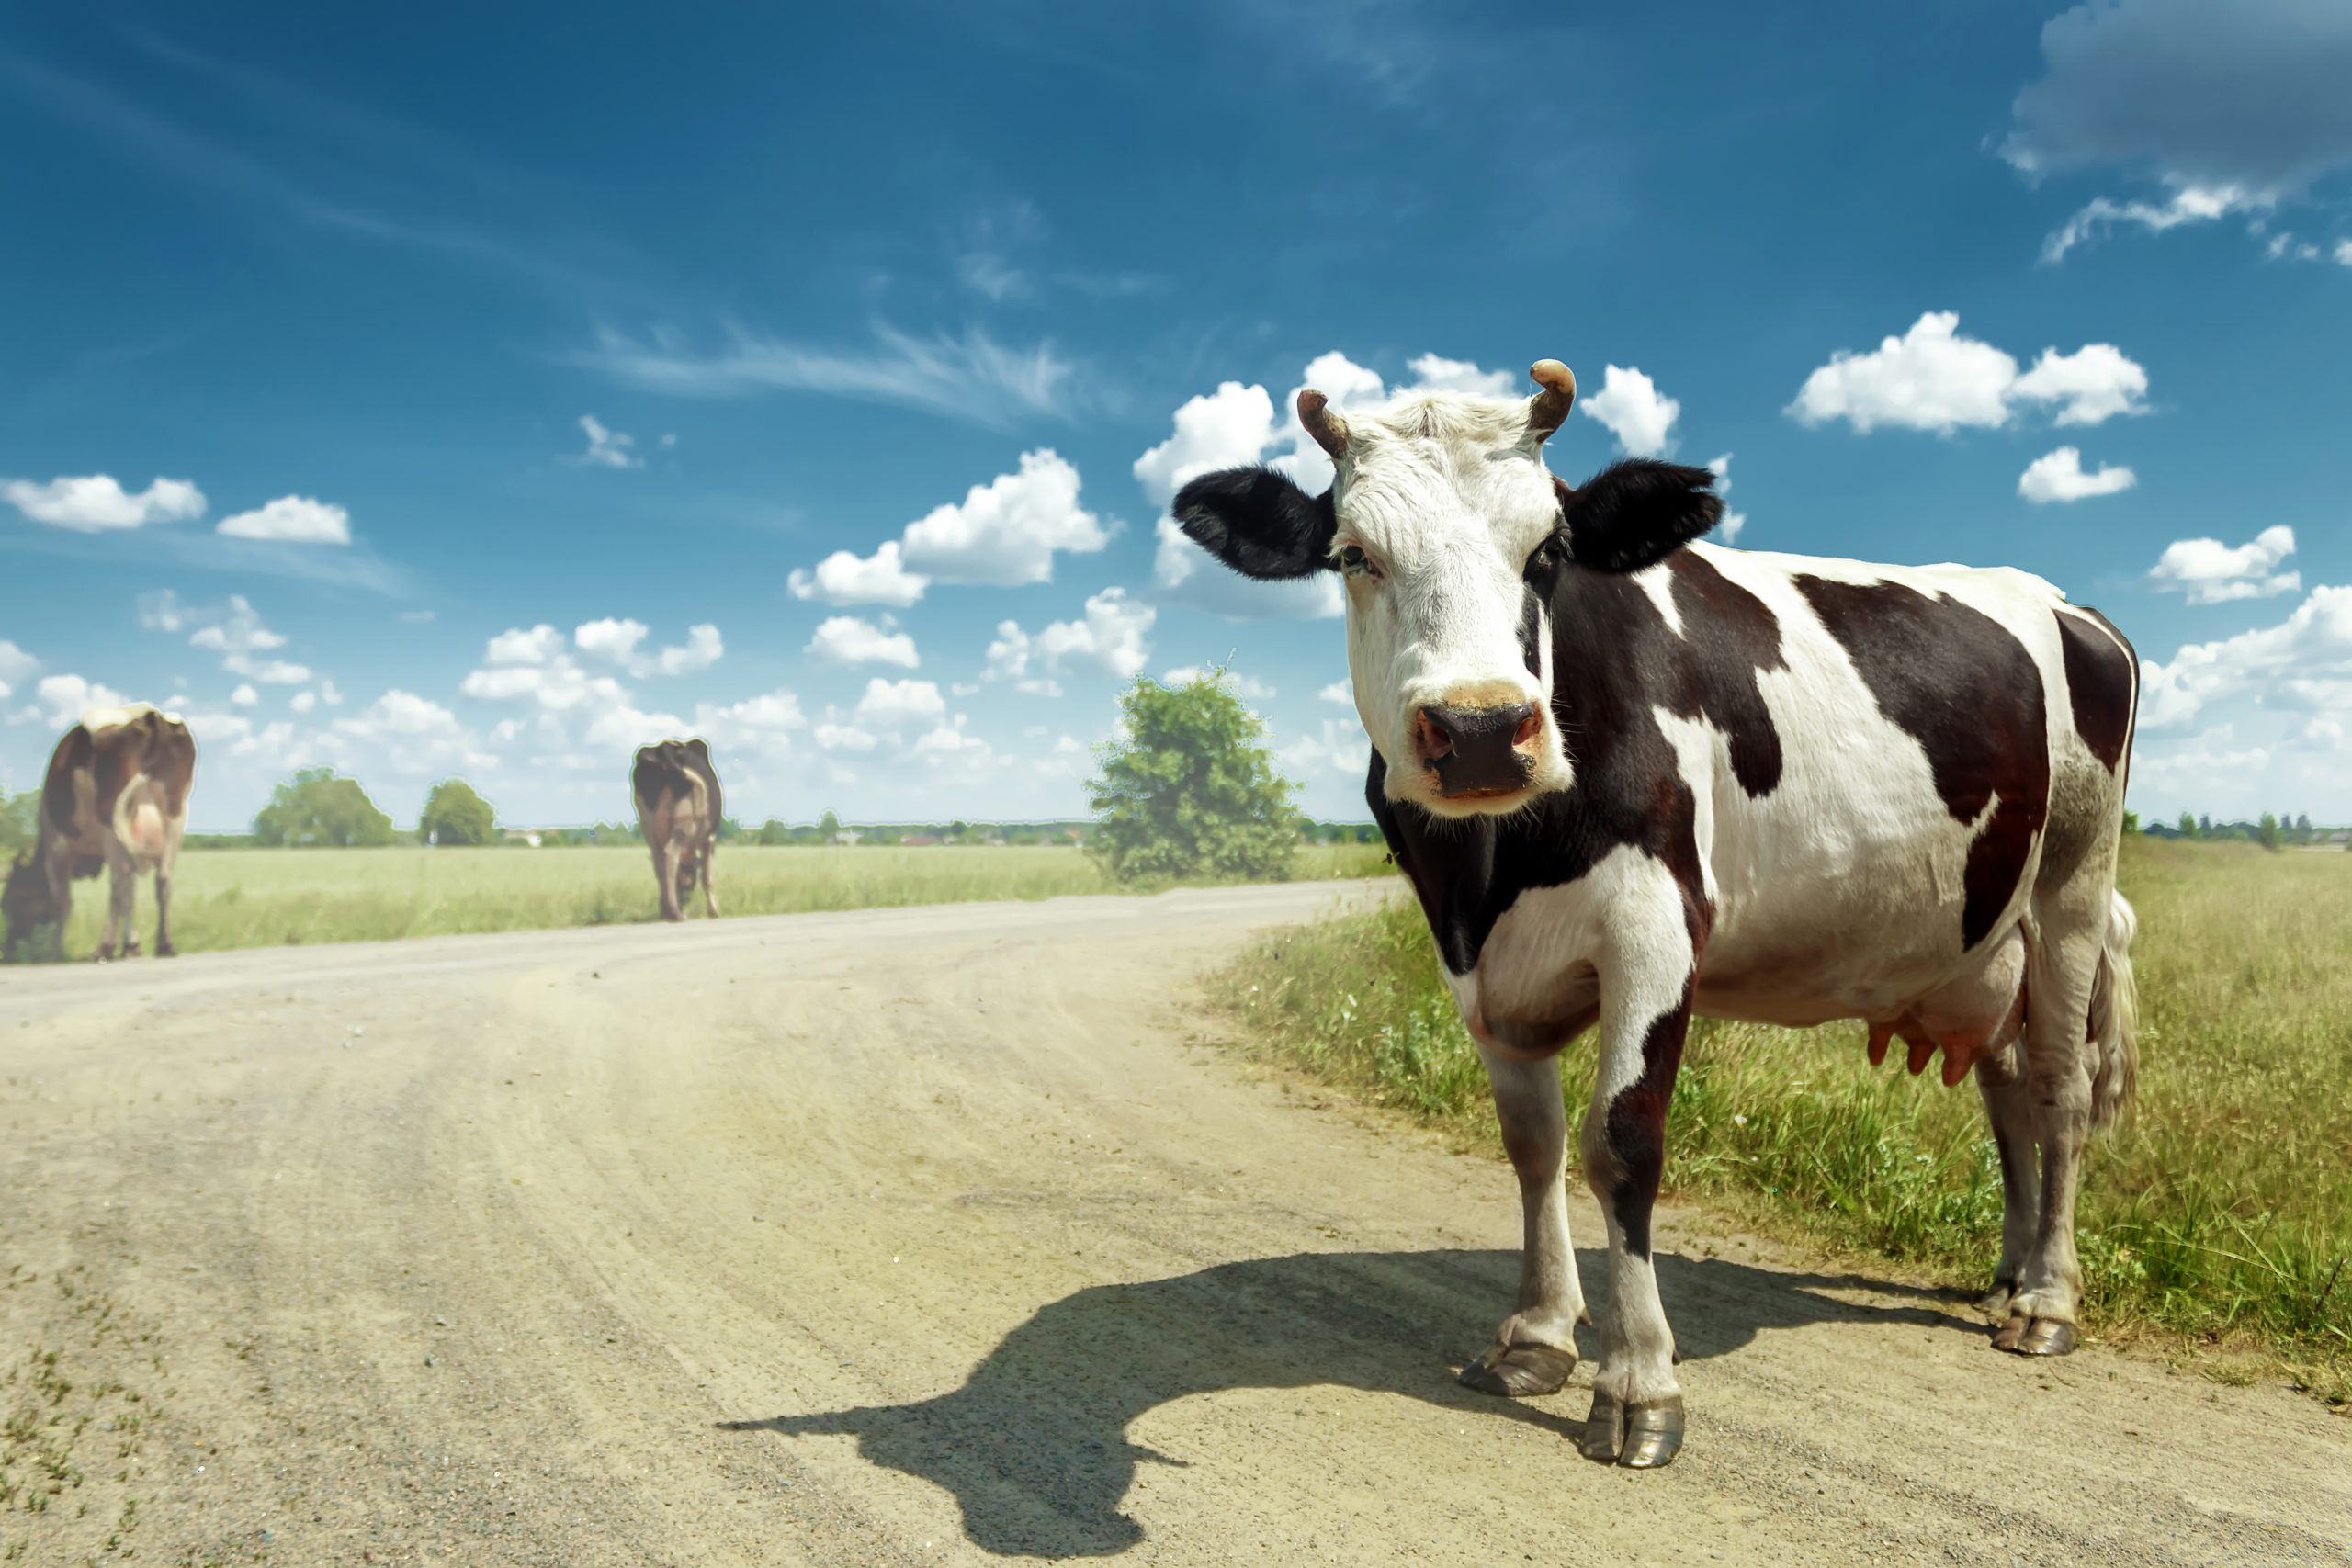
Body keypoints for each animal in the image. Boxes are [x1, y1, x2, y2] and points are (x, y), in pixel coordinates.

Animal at [3, 705, 198, 964]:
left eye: (12, 902)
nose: (8, 950)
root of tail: (149, 713)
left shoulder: (57, 847)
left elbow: (62, 902)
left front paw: (55, 953)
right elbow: (130, 897)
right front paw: (131, 946)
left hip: (111, 819)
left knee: (120, 879)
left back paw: (104, 947)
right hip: (174, 815)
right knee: (162, 879)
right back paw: (165, 945)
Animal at [630, 738, 719, 921]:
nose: (684, 899)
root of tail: (661, 749)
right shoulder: (710, 839)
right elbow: (707, 877)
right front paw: (714, 911)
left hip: (648, 823)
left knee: (659, 861)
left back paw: (666, 911)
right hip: (683, 823)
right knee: (670, 855)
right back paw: (675, 912)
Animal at [1170, 364, 2135, 1476]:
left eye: (1547, 551)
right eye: (1352, 554)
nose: (1480, 730)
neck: (1495, 867)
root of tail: (2067, 603)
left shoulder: (1658, 924)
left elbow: (1620, 1142)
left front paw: (1636, 1383)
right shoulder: (1474, 959)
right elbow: (1532, 1142)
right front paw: (1537, 1335)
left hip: (2073, 886)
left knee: (2059, 1090)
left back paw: (2047, 1298)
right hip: (1986, 937)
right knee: (2009, 1089)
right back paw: (2007, 1273)